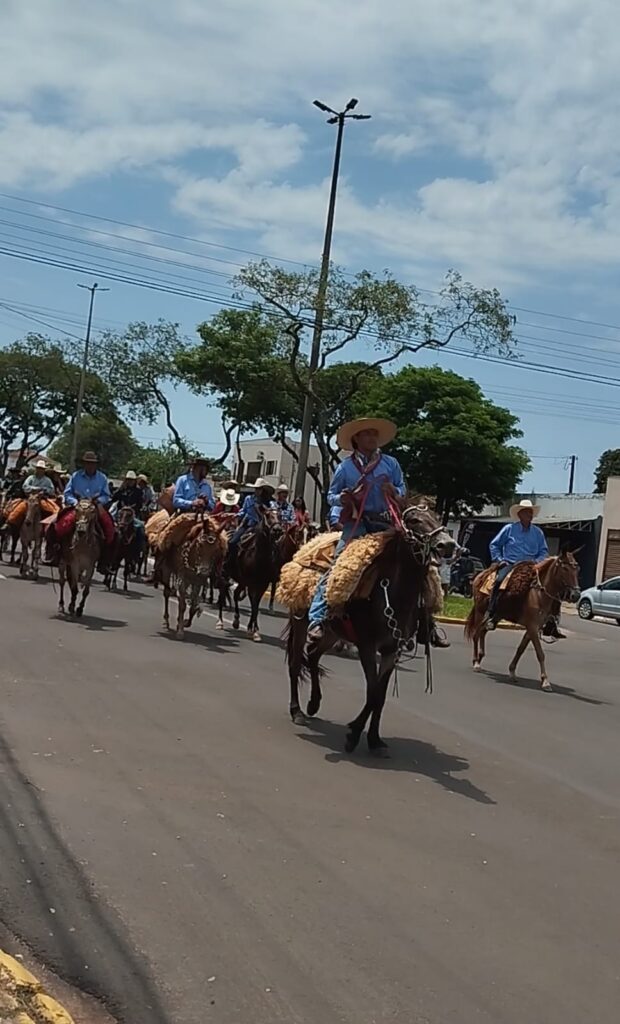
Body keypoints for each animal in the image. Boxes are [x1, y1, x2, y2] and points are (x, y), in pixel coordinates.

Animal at [284, 503, 455, 753]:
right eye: (414, 520)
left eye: (436, 517)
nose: (448, 544)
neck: (393, 593)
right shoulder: (367, 646)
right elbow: (373, 692)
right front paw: (354, 734)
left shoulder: (392, 650)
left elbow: (380, 696)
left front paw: (374, 739)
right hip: (300, 623)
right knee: (296, 664)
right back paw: (296, 711)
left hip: (333, 632)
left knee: (313, 657)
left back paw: (314, 703)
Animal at [463, 548, 582, 692]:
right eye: (564, 568)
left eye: (577, 569)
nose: (576, 595)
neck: (539, 595)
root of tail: (480, 575)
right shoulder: (532, 627)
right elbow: (540, 653)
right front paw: (545, 681)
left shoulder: (533, 628)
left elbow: (521, 649)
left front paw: (512, 672)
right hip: (481, 612)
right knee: (476, 634)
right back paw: (476, 662)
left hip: (495, 616)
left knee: (483, 632)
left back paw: (480, 657)